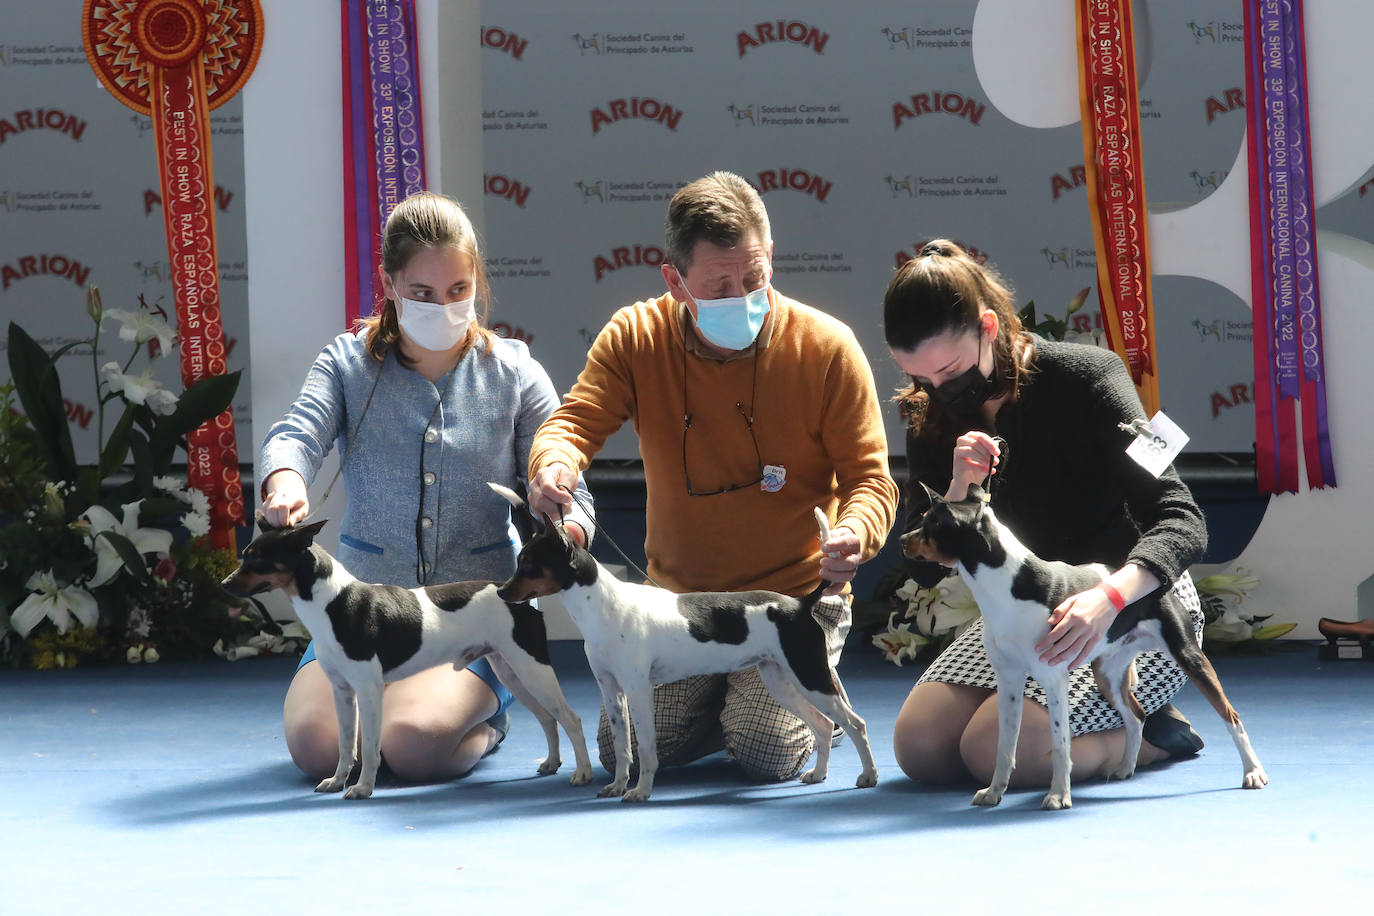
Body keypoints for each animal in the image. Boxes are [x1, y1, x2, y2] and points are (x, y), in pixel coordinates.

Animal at [222, 519, 593, 796]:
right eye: (245, 554)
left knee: (570, 719)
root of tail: (517, 597)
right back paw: (551, 763)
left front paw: (363, 788)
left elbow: (370, 746)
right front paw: (338, 780)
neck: (332, 603)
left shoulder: (369, 691)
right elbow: (346, 744)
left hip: (533, 669)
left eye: (256, 558)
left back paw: (583, 773)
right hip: (513, 672)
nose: (224, 583)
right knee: (548, 719)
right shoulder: (342, 692)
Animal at [494, 483, 873, 807]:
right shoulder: (612, 691)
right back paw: (819, 774)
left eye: (529, 564)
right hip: (781, 681)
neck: (603, 606)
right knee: (822, 725)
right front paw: (618, 785)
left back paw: (868, 775)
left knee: (855, 724)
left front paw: (641, 791)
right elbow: (622, 746)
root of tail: (800, 604)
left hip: (810, 677)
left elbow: (646, 748)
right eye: (520, 560)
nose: (499, 592)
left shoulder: (638, 690)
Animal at [901, 483, 1264, 813]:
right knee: (1136, 716)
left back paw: (1253, 772)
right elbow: (1004, 746)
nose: (902, 539)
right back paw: (1125, 767)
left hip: (1189, 657)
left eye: (929, 523)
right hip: (1108, 674)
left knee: (1230, 715)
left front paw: (1059, 796)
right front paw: (993, 793)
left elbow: (1061, 743)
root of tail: (1158, 581)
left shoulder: (1053, 679)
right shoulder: (1009, 681)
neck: (1008, 588)